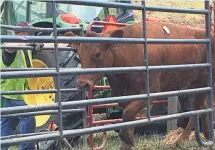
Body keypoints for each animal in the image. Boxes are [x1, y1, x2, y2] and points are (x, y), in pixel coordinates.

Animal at [66, 20, 215, 149]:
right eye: (79, 55)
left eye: (97, 54)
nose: (82, 84)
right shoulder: (126, 96)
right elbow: (129, 118)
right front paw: (126, 143)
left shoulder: (150, 92)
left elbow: (127, 114)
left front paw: (127, 139)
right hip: (198, 84)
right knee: (202, 107)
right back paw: (205, 136)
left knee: (197, 109)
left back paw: (183, 139)